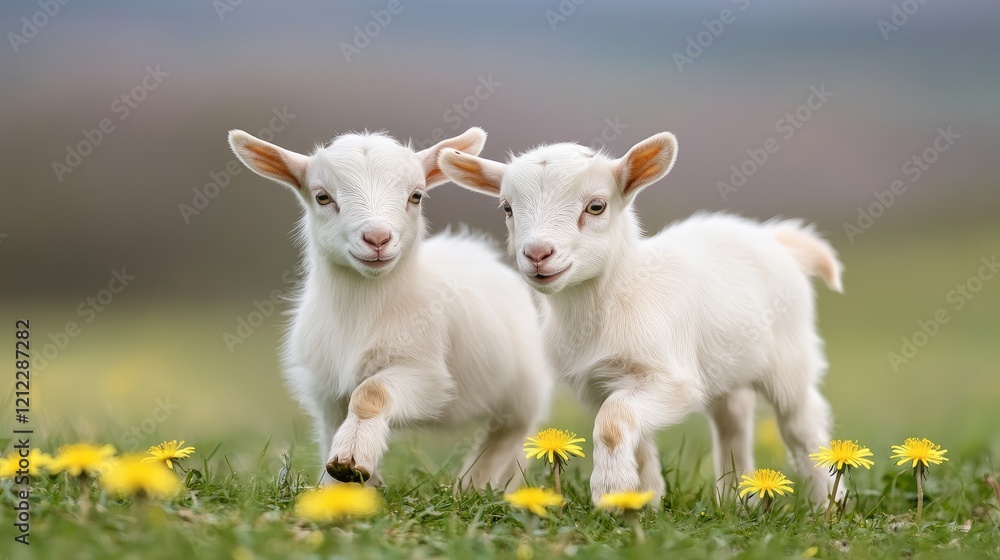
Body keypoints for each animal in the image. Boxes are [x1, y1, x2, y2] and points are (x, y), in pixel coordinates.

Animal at [228, 126, 552, 490]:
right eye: (322, 197)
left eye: (416, 196)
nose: (377, 239)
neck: (363, 313)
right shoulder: (325, 388)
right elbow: (331, 430)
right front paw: (340, 484)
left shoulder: (426, 374)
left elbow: (372, 393)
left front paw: (351, 461)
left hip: (524, 387)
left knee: (510, 432)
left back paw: (476, 483)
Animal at [438, 132, 843, 505]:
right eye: (506, 208)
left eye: (596, 206)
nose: (538, 254)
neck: (616, 298)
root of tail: (774, 237)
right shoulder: (602, 383)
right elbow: (636, 434)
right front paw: (643, 496)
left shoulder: (672, 378)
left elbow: (613, 424)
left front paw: (610, 490)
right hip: (727, 363)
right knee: (733, 419)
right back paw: (735, 498)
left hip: (790, 358)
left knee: (801, 422)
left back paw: (828, 503)